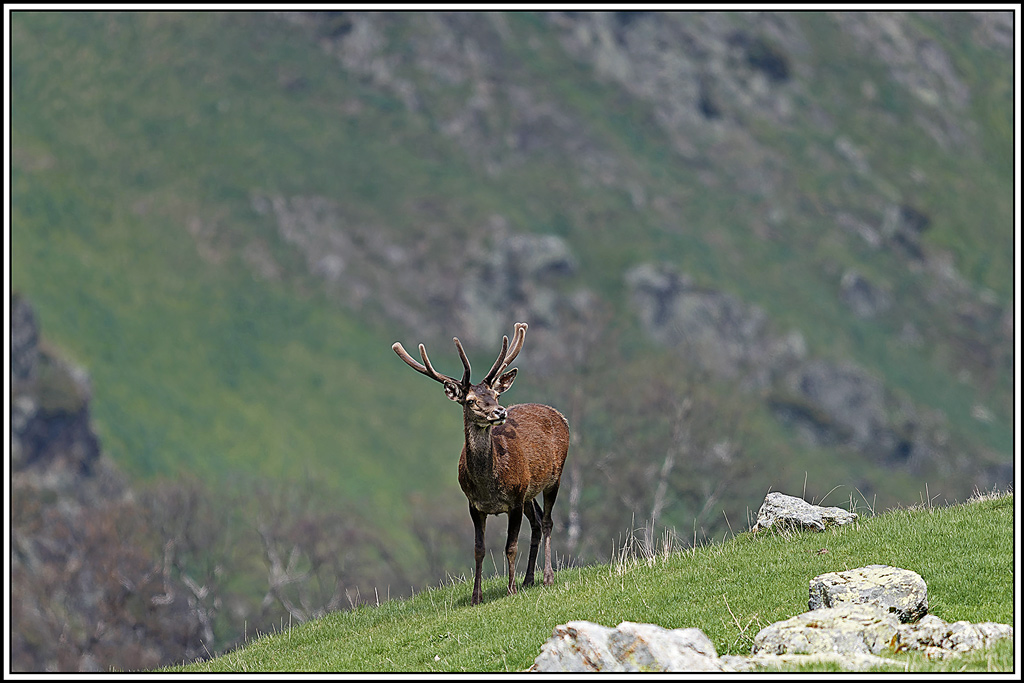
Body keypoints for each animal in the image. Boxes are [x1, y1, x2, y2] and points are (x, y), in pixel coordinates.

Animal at [392, 322, 570, 605]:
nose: (500, 411)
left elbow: (510, 546)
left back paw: (547, 577)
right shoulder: (474, 504)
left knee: (548, 521)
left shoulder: (514, 499)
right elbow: (479, 549)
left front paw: (510, 590)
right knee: (537, 523)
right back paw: (528, 579)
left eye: (495, 394)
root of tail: (559, 415)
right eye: (471, 400)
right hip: (529, 491)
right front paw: (477, 596)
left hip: (555, 476)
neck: (488, 486)